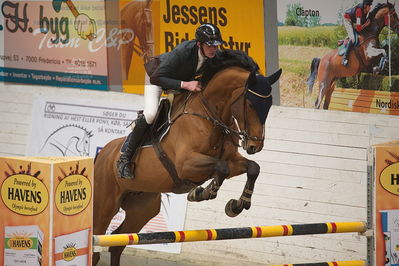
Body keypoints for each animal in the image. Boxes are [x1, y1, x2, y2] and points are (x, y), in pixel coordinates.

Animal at [92, 50, 282, 266]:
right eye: (250, 104)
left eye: (268, 105)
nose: (254, 146)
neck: (211, 116)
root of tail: (102, 154)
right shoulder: (186, 165)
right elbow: (221, 168)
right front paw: (200, 193)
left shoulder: (233, 160)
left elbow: (252, 168)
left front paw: (237, 205)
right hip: (105, 204)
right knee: (96, 244)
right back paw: (124, 165)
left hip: (142, 208)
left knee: (118, 242)